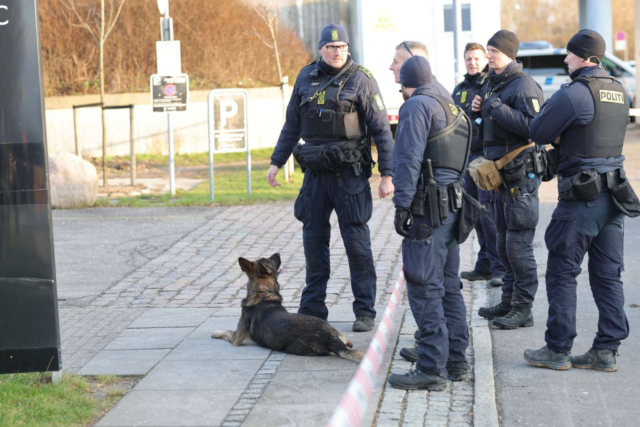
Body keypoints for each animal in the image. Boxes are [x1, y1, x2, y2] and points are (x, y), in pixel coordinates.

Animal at [212, 254, 364, 364]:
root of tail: (329, 336)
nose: (278, 253)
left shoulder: (237, 338)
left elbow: (227, 331)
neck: (261, 292)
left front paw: (215, 332)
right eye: (270, 259)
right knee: (346, 341)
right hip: (332, 329)